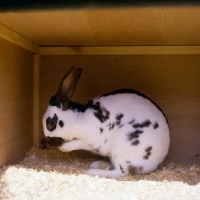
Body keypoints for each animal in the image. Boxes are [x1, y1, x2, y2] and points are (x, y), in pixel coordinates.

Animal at [42, 67, 170, 178]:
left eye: (51, 123)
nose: (50, 142)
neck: (78, 120)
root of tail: (156, 163)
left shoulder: (93, 142)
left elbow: (76, 143)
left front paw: (63, 147)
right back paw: (97, 164)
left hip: (123, 151)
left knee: (122, 172)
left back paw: (92, 171)